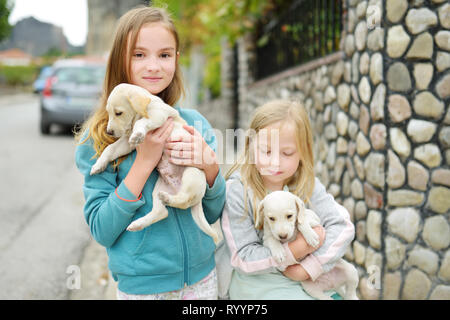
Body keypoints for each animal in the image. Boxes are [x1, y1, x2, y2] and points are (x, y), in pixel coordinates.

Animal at [89, 82, 218, 242]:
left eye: (118, 113)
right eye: (109, 113)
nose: (109, 132)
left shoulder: (158, 115)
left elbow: (141, 122)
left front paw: (138, 132)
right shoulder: (126, 143)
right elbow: (110, 149)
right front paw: (98, 165)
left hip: (191, 174)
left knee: (184, 200)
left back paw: (168, 199)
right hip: (158, 189)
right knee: (162, 212)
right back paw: (138, 223)